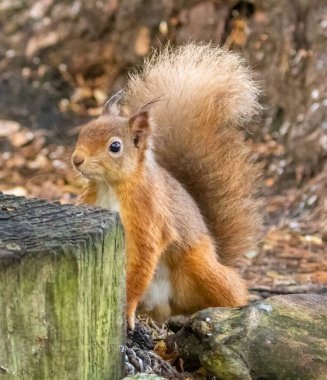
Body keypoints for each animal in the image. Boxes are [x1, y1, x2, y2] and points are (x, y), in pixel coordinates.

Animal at [73, 43, 262, 330]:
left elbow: (142, 259)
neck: (110, 186)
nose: (77, 160)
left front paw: (126, 309)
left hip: (199, 266)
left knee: (230, 288)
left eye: (115, 146)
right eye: (85, 130)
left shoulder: (148, 213)